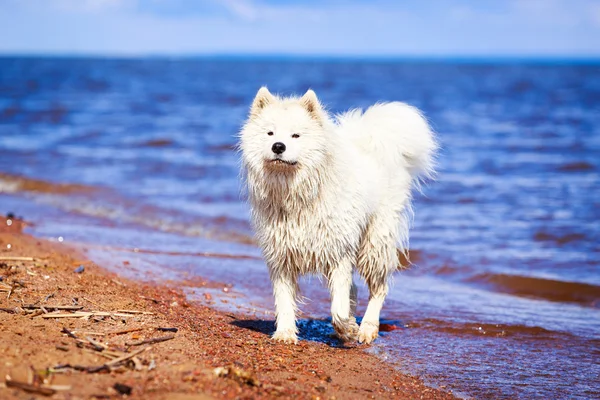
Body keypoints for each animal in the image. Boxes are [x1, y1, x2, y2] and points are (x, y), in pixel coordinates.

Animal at [239, 87, 436, 344]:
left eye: (296, 136)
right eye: (270, 133)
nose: (278, 146)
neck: (298, 195)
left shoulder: (339, 252)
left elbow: (338, 305)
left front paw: (347, 327)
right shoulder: (281, 255)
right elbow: (284, 300)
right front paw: (285, 333)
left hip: (374, 243)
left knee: (379, 288)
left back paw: (367, 328)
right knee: (355, 288)